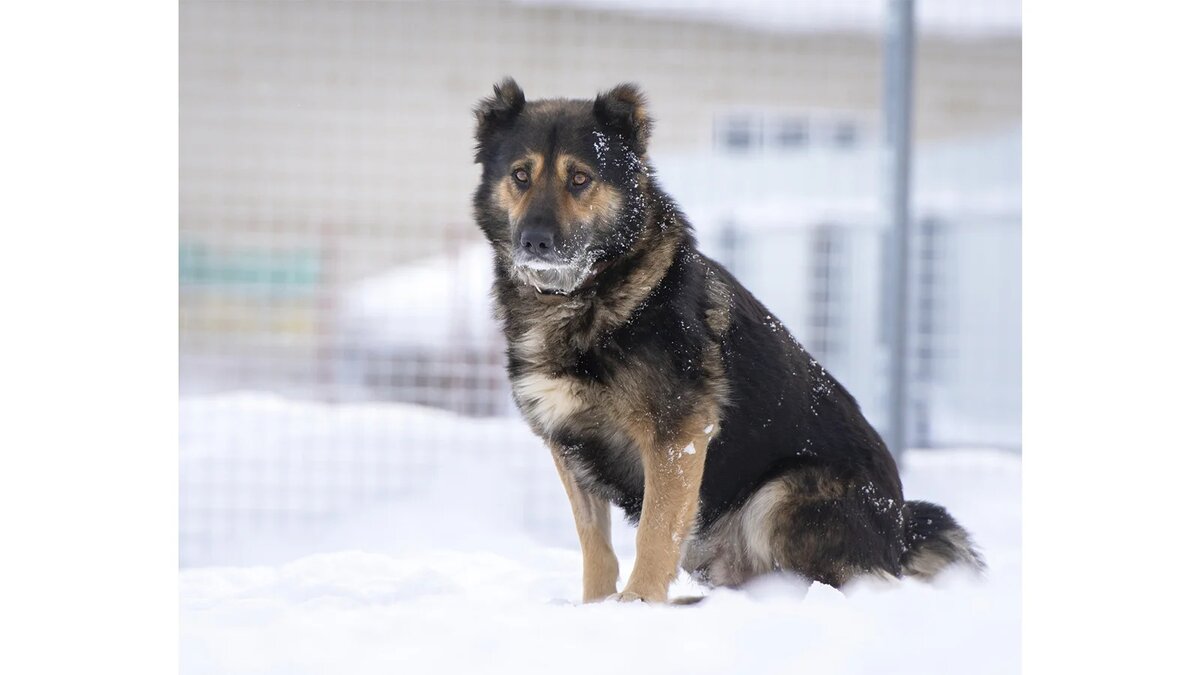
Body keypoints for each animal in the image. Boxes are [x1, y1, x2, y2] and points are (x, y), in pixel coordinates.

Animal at [468, 79, 984, 605]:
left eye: (578, 178)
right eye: (520, 175)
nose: (535, 242)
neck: (590, 293)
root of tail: (900, 534)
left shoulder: (677, 436)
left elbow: (654, 531)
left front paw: (638, 604)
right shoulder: (569, 444)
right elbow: (596, 544)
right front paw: (597, 606)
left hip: (781, 496)